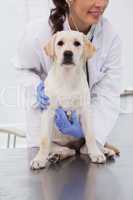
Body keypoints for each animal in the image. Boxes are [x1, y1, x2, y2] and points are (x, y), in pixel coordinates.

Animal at [30, 30, 114, 170]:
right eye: (60, 43)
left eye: (77, 43)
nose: (68, 53)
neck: (67, 77)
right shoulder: (48, 113)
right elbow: (44, 141)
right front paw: (39, 159)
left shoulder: (85, 112)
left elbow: (90, 136)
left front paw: (96, 154)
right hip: (55, 144)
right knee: (68, 151)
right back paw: (56, 156)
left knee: (84, 148)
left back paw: (104, 151)